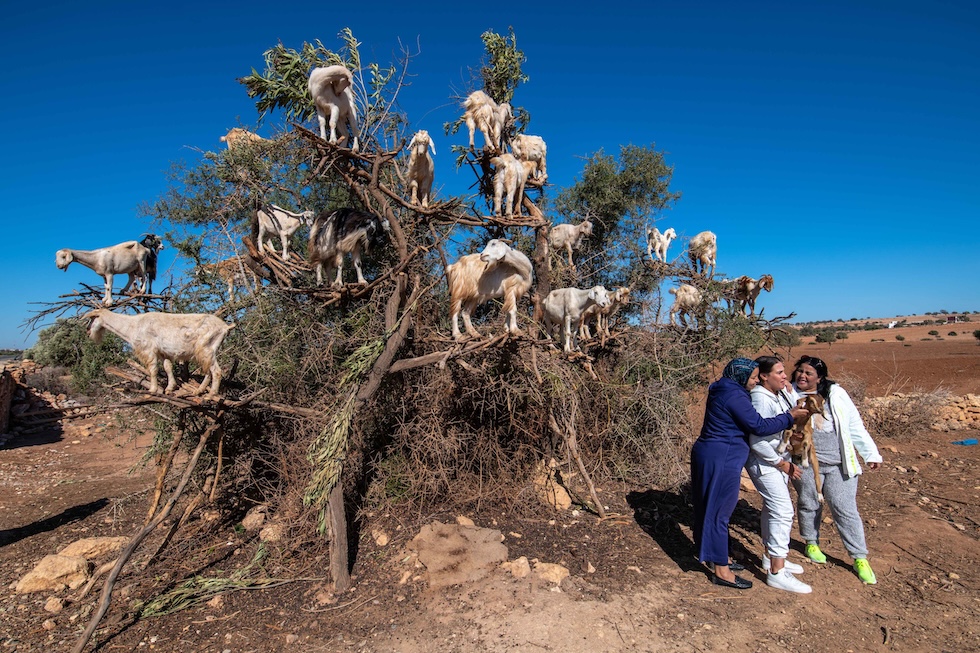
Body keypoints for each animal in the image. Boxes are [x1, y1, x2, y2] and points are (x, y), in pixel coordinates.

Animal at [84, 310, 234, 398]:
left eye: (92, 319)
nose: (87, 331)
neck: (133, 325)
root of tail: (225, 327)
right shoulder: (163, 352)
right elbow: (167, 367)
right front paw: (170, 388)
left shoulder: (149, 349)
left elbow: (153, 370)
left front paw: (152, 390)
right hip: (205, 352)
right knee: (208, 370)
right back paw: (199, 391)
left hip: (206, 348)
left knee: (216, 371)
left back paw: (211, 394)